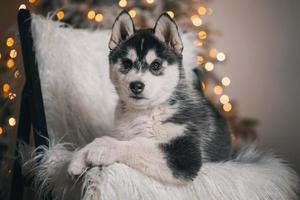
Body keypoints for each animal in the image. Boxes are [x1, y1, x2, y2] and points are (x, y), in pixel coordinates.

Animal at [68, 11, 232, 184]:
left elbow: (138, 144)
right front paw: (79, 156)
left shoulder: (185, 154)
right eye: (127, 63)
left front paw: (103, 147)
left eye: (156, 65)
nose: (136, 85)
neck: (146, 112)